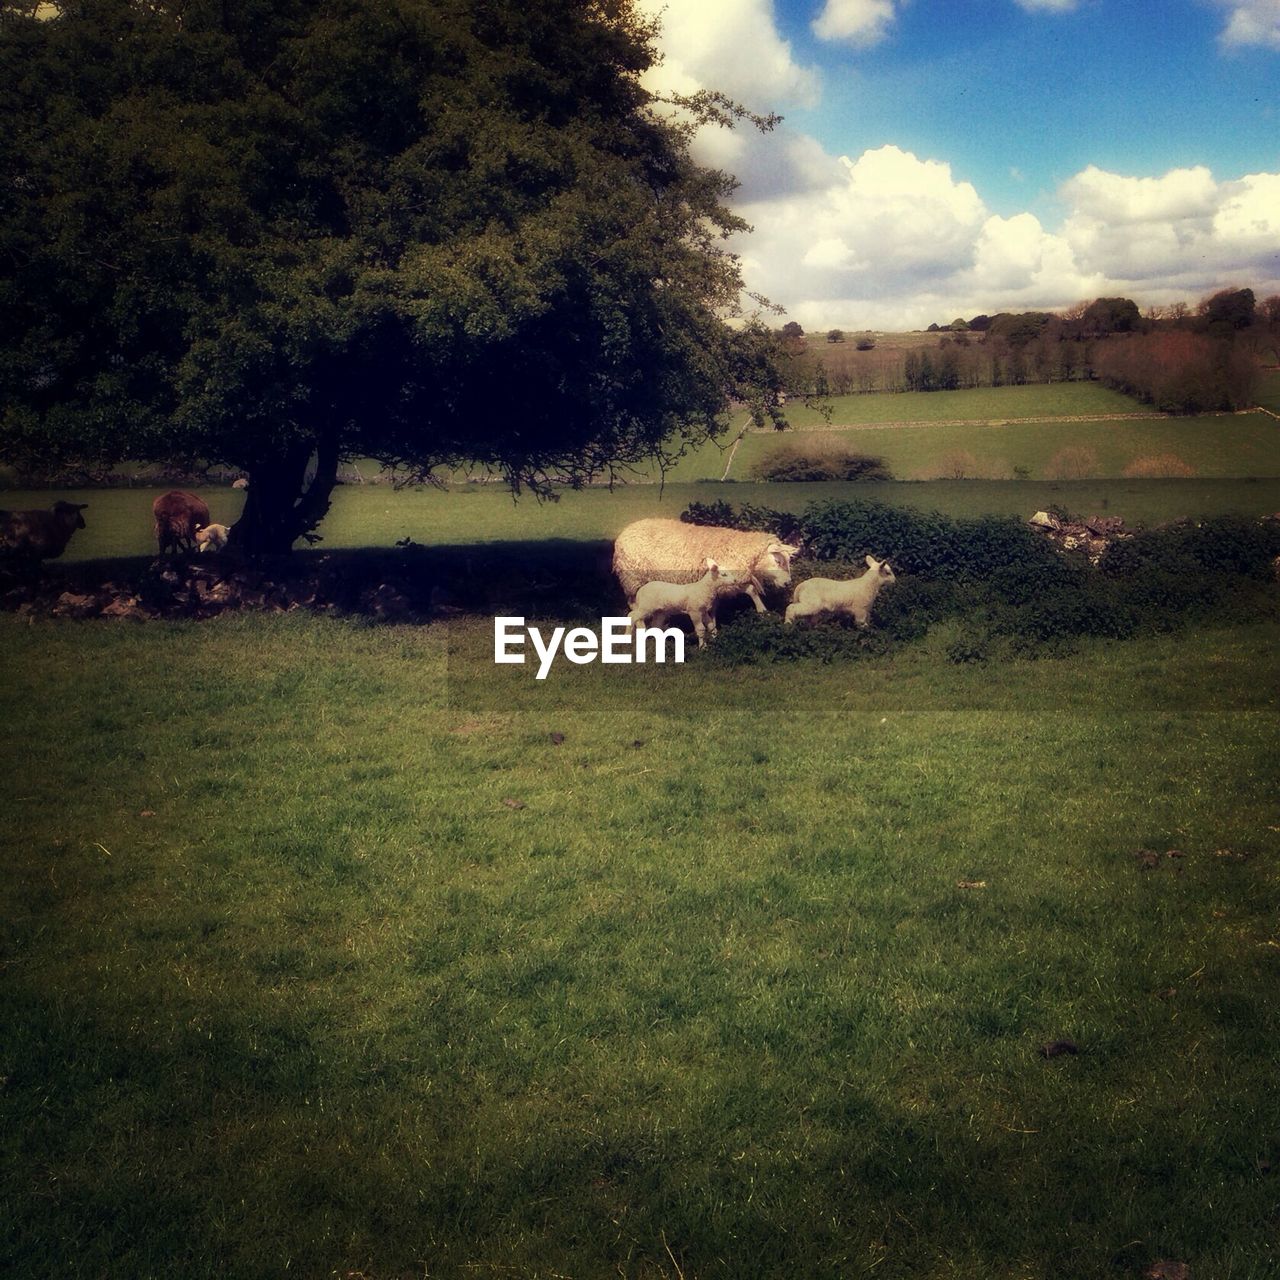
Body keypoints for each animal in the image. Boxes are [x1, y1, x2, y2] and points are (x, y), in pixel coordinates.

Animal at [611, 514, 798, 614]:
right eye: (778, 561)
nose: (788, 583)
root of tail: (626, 531)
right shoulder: (728, 580)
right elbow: (752, 589)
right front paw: (762, 610)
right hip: (633, 578)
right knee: (634, 604)